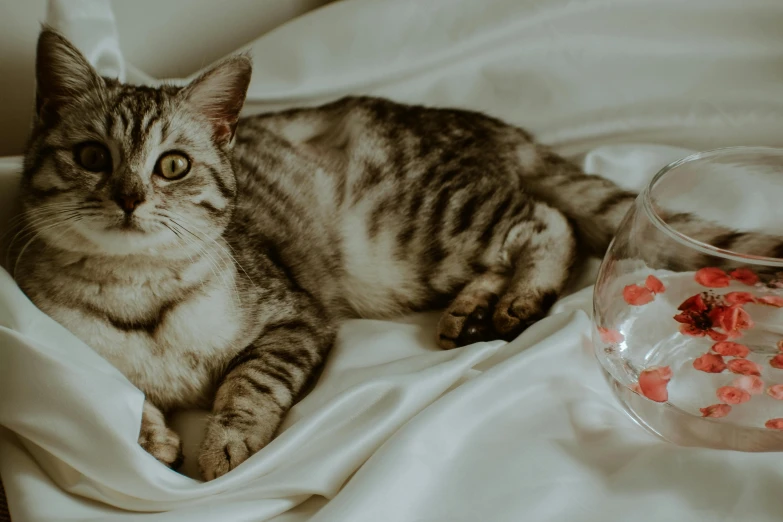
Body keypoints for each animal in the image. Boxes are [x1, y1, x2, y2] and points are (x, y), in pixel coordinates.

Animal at [12, 26, 776, 478]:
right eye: (91, 156)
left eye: (172, 165)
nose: (129, 197)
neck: (139, 289)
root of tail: (484, 123)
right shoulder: (64, 334)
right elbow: (114, 388)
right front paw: (148, 435)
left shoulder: (296, 318)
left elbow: (249, 381)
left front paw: (224, 443)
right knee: (511, 248)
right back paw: (474, 311)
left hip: (427, 227)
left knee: (545, 221)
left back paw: (517, 297)